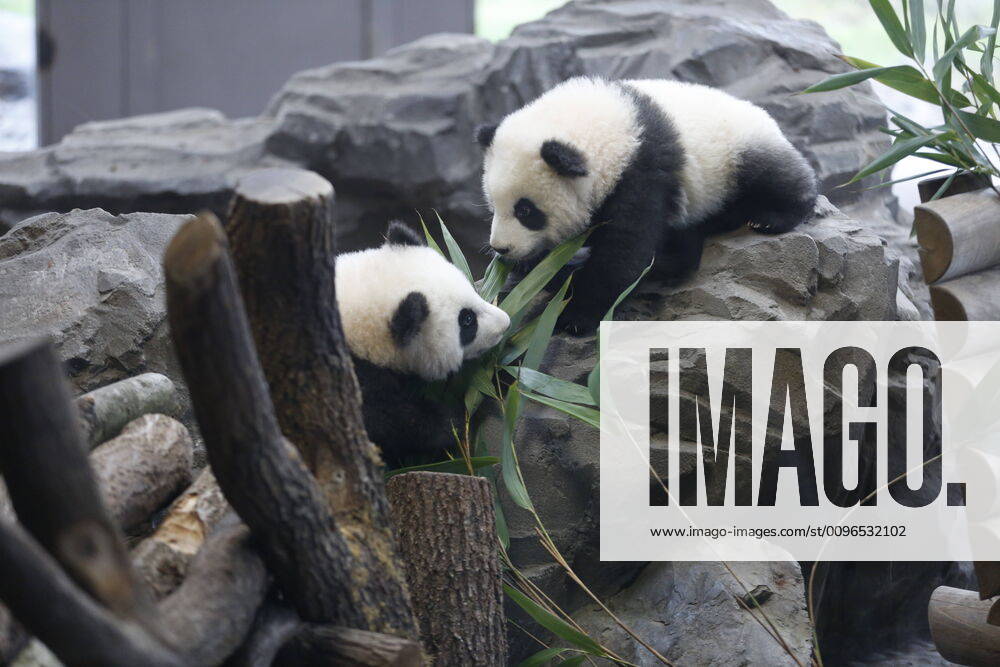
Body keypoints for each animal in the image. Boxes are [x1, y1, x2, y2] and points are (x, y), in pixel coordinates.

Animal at [476, 77, 818, 335]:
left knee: (775, 177)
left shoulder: (642, 173)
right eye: (493, 206)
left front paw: (576, 316)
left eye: (526, 211)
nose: (501, 248)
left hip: (736, 157)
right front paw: (539, 270)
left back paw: (771, 218)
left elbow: (625, 248)